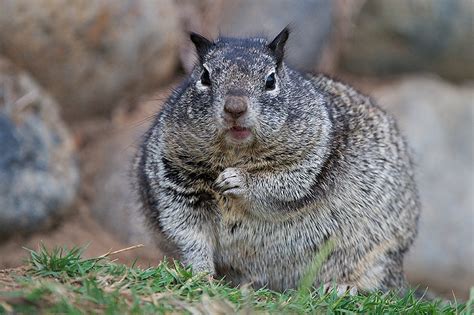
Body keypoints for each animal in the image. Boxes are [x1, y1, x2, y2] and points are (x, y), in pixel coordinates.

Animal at [135, 28, 420, 296]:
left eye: (271, 80)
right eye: (204, 76)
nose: (235, 107)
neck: (235, 153)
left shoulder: (312, 158)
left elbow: (283, 186)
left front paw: (237, 180)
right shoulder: (174, 176)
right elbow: (188, 232)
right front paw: (200, 274)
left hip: (380, 253)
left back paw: (342, 287)